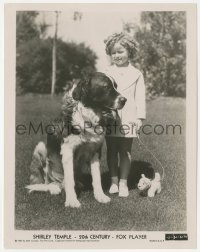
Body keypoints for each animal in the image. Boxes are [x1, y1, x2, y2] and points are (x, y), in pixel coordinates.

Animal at [26, 72, 126, 208]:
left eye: (115, 86)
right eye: (106, 87)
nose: (124, 100)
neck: (87, 117)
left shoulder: (95, 150)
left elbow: (96, 177)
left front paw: (100, 196)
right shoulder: (67, 150)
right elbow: (69, 179)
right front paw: (72, 200)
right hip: (41, 147)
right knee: (47, 183)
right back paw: (53, 188)